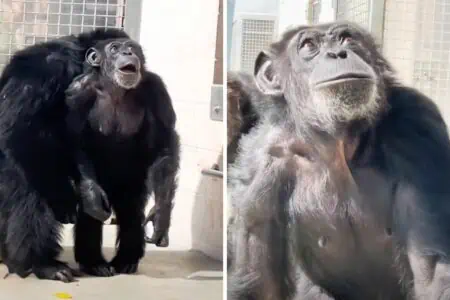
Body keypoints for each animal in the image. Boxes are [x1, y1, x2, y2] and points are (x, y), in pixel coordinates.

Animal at [229, 21, 450, 300]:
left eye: (346, 38)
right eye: (309, 45)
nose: (337, 53)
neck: (337, 142)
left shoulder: (419, 127)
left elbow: (431, 272)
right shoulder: (259, 161)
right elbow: (259, 282)